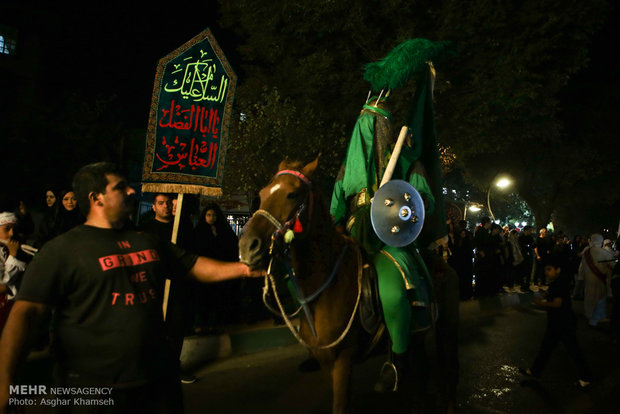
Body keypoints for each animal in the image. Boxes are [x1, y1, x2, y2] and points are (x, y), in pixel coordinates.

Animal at [240, 157, 458, 412]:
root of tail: (442, 262)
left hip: (447, 329)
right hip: (418, 338)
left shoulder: (343, 358)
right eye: (262, 194)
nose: (248, 247)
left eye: (292, 194)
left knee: (449, 375)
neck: (325, 286)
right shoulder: (326, 362)